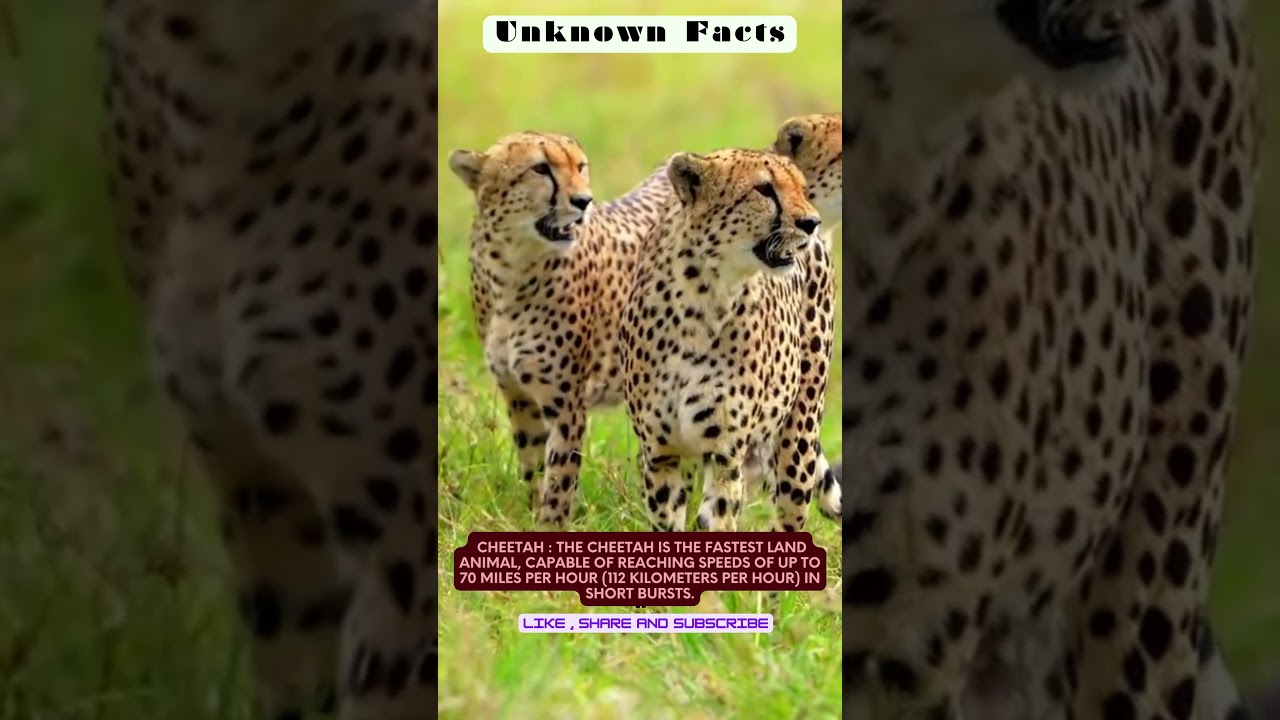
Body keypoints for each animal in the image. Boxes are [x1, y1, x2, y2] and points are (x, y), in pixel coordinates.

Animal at [447, 132, 673, 527]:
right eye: (541, 169)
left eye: (580, 166)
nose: (584, 201)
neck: (512, 272)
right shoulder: (518, 397)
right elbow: (534, 469)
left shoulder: (566, 405)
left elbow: (559, 482)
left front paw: (550, 524)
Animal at [619, 148, 838, 534]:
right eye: (764, 189)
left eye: (801, 188)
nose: (810, 222)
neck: (702, 297)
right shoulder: (661, 456)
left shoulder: (724, 456)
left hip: (799, 435)